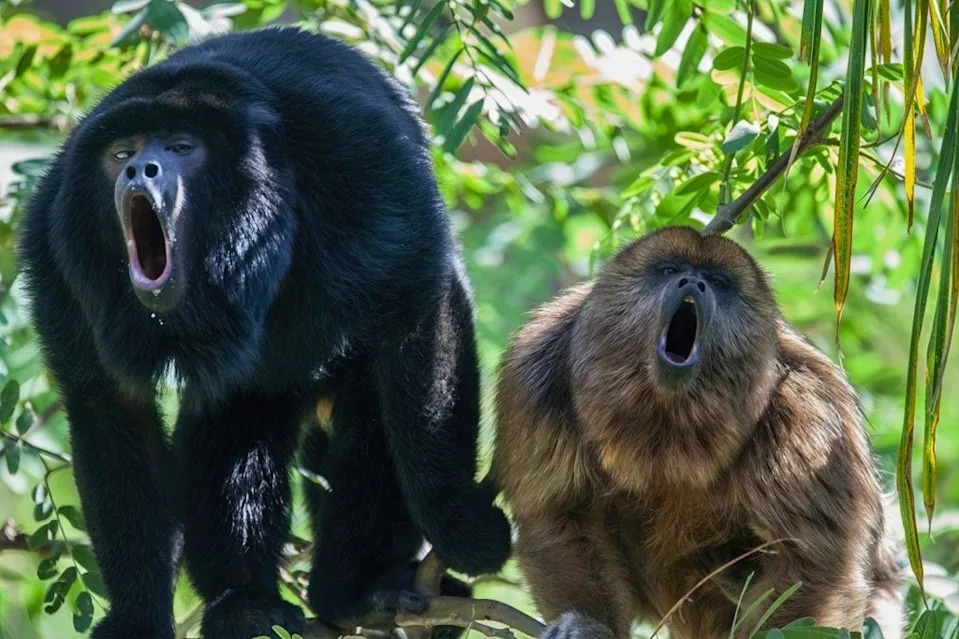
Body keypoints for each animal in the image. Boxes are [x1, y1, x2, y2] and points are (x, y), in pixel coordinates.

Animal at [18, 27, 510, 639]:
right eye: (122, 154)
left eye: (181, 147)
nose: (139, 171)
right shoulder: (54, 244)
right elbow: (110, 406)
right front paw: (137, 617)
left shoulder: (363, 165)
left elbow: (420, 313)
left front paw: (460, 524)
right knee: (238, 417)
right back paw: (245, 599)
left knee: (374, 401)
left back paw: (358, 589)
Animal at [494, 226, 904, 639]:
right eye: (669, 269)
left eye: (719, 282)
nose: (693, 281)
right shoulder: (536, 373)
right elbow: (559, 513)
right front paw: (588, 623)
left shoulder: (811, 413)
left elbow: (812, 560)